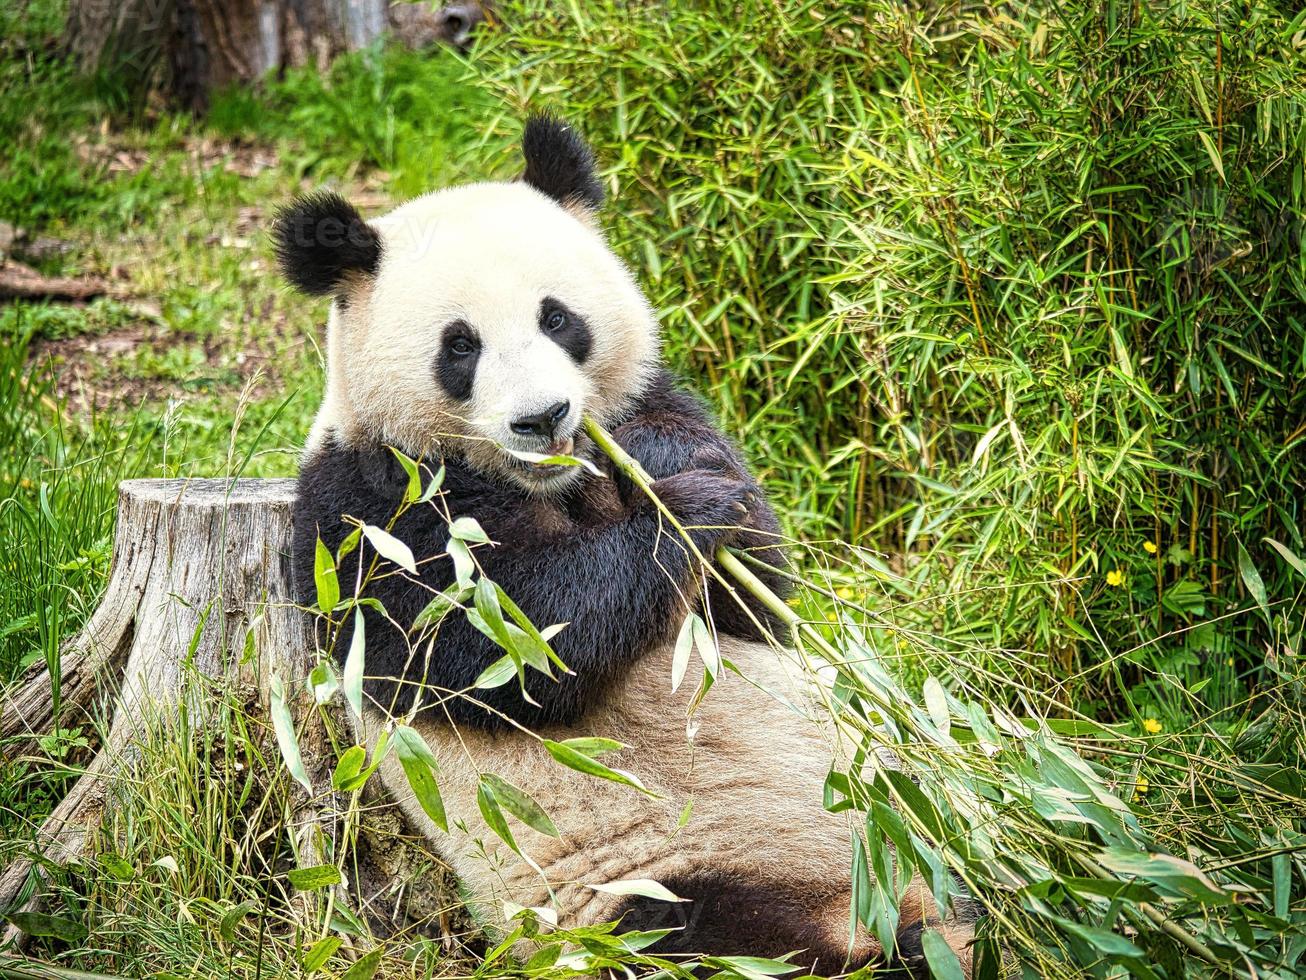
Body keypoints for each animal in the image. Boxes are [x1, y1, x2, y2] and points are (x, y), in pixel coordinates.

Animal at [275, 114, 976, 977]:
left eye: (557, 318)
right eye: (460, 346)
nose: (543, 417)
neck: (544, 482)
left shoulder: (651, 415)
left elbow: (754, 600)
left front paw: (675, 468)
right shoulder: (366, 509)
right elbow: (505, 642)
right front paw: (686, 513)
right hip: (650, 892)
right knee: (727, 942)